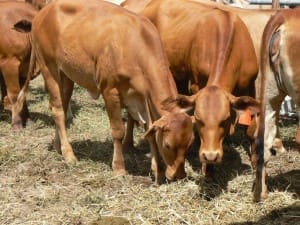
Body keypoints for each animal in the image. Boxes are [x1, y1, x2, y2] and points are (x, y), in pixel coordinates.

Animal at [14, 0, 195, 183]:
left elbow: (149, 130)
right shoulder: (110, 90)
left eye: (189, 144)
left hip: (66, 75)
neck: (136, 45)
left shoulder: (141, 97)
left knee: (63, 108)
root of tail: (43, 12)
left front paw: (157, 170)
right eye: (167, 145)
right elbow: (118, 130)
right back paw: (69, 154)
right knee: (57, 110)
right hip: (49, 68)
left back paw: (59, 146)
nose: (179, 176)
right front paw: (119, 168)